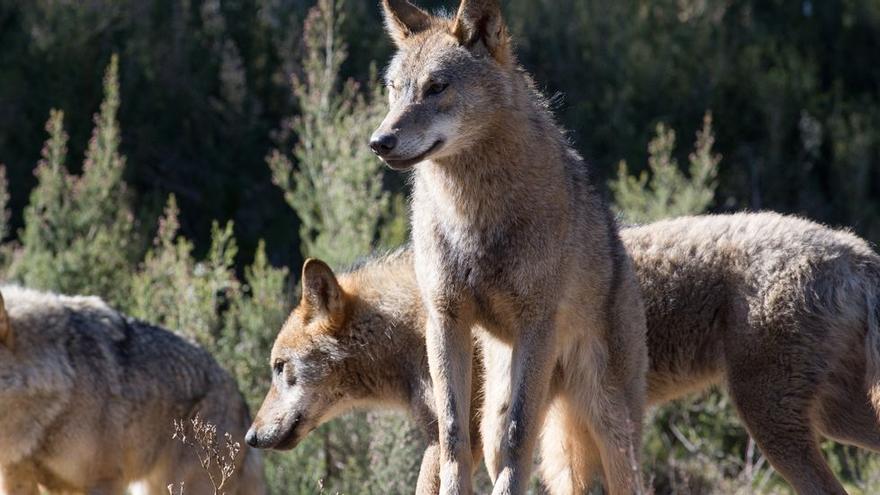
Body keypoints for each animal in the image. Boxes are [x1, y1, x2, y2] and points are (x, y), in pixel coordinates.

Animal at [246, 214, 880, 495]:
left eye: (280, 371)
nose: (250, 437)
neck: (413, 323)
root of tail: (855, 249)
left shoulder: (461, 440)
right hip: (832, 420)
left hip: (774, 424)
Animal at [368, 0, 648, 495]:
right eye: (395, 90)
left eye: (436, 87)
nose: (379, 142)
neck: (473, 217)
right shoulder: (445, 320)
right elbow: (452, 434)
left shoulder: (537, 322)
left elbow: (521, 436)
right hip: (498, 406)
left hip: (612, 428)